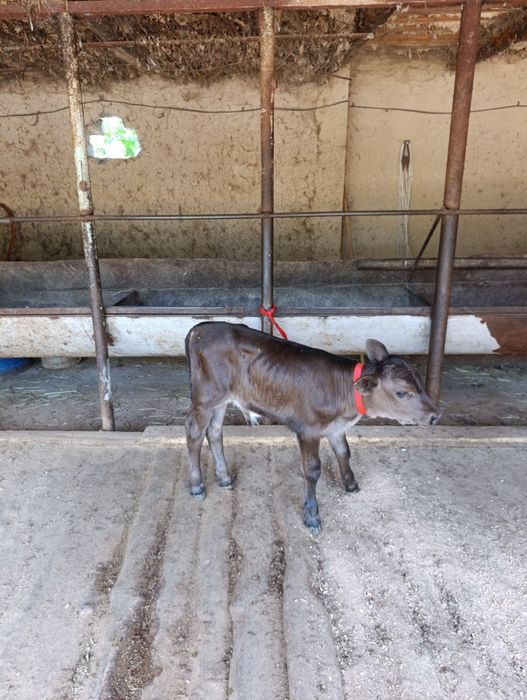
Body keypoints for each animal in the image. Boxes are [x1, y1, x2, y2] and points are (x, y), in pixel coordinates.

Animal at [185, 321, 440, 532]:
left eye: (419, 381)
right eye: (402, 392)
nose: (435, 415)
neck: (346, 398)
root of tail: (200, 327)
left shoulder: (336, 427)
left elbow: (344, 453)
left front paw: (351, 485)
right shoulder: (308, 429)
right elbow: (313, 470)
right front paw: (312, 515)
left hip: (222, 399)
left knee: (214, 431)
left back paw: (224, 477)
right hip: (205, 396)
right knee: (195, 431)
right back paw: (197, 485)